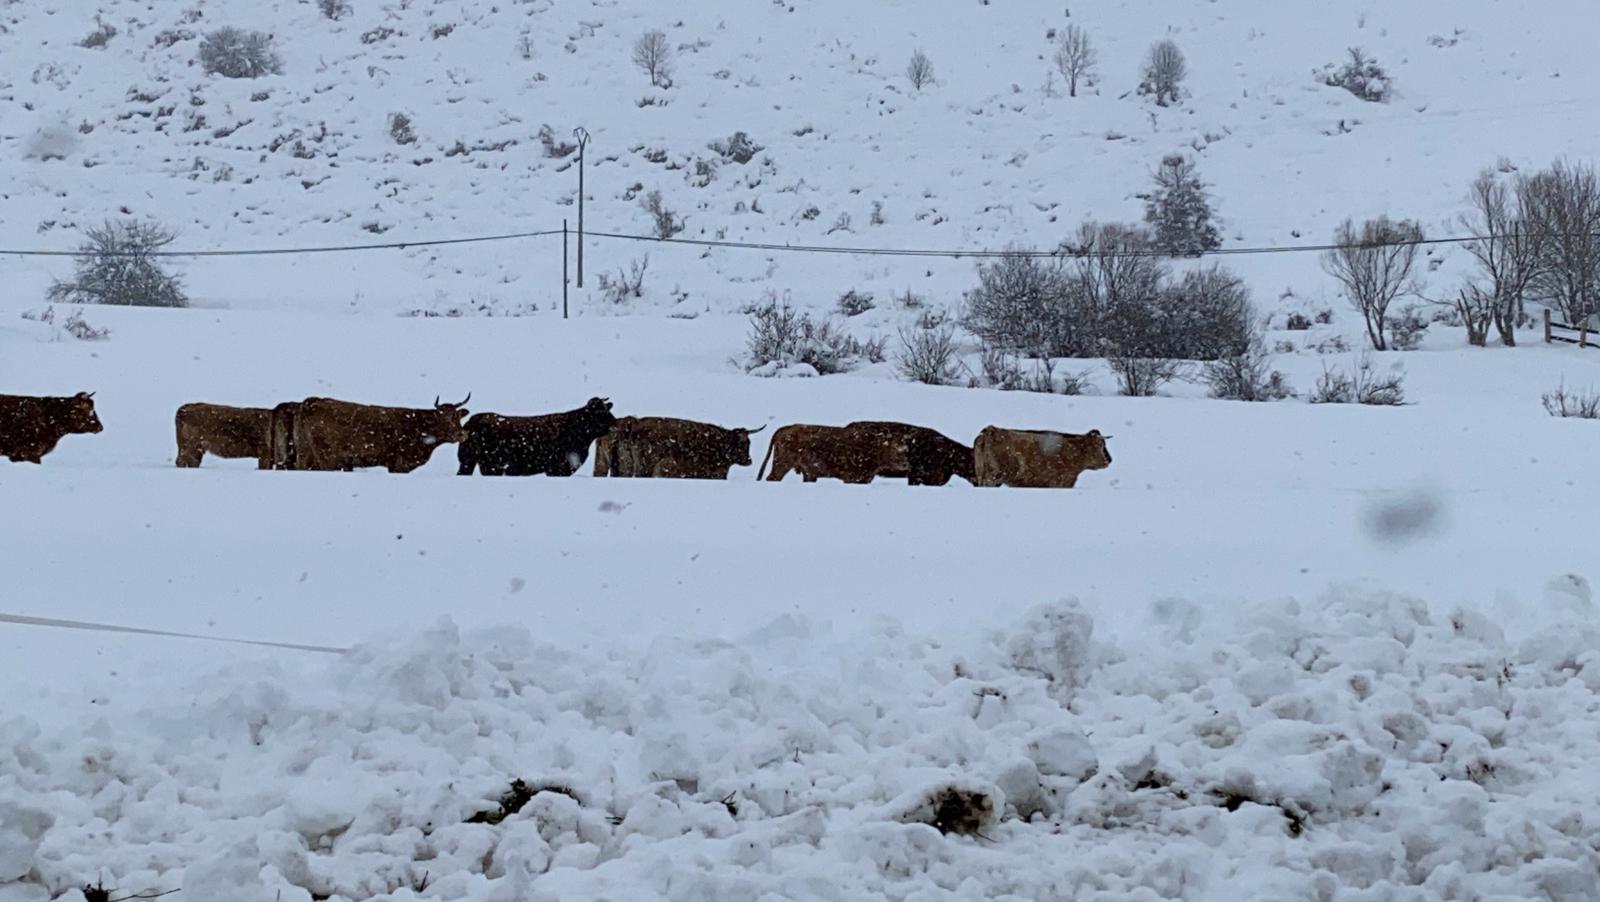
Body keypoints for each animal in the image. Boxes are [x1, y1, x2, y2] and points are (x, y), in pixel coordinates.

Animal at [292, 393, 467, 473]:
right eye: (441, 418)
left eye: (457, 416)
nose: (461, 434)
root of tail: (312, 400)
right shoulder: (400, 463)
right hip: (327, 458)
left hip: (305, 454)